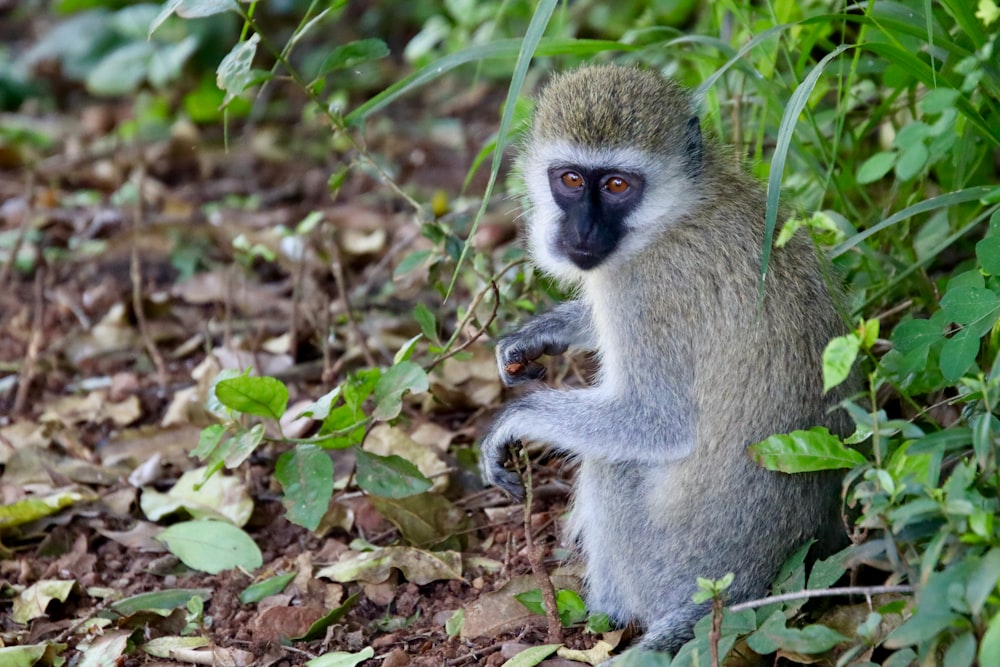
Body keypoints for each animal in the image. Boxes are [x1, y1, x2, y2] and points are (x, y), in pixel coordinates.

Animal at [478, 64, 852, 656]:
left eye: (617, 185)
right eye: (570, 180)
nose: (582, 232)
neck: (676, 214)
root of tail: (748, 582)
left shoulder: (647, 291)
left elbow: (658, 421)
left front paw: (515, 420)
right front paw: (541, 334)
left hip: (671, 565)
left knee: (613, 462)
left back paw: (608, 615)